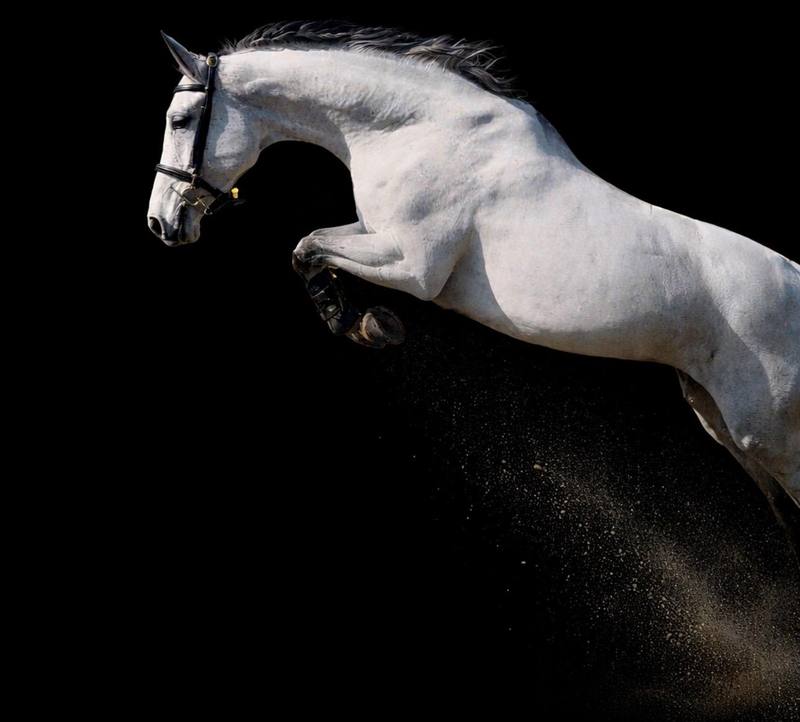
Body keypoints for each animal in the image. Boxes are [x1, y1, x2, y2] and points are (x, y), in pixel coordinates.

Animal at [147, 22, 800, 562]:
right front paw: (365, 322)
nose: (162, 224)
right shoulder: (372, 233)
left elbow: (307, 248)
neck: (415, 130)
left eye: (180, 122)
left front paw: (371, 325)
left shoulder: (412, 266)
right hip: (718, 420)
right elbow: (306, 247)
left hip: (765, 433)